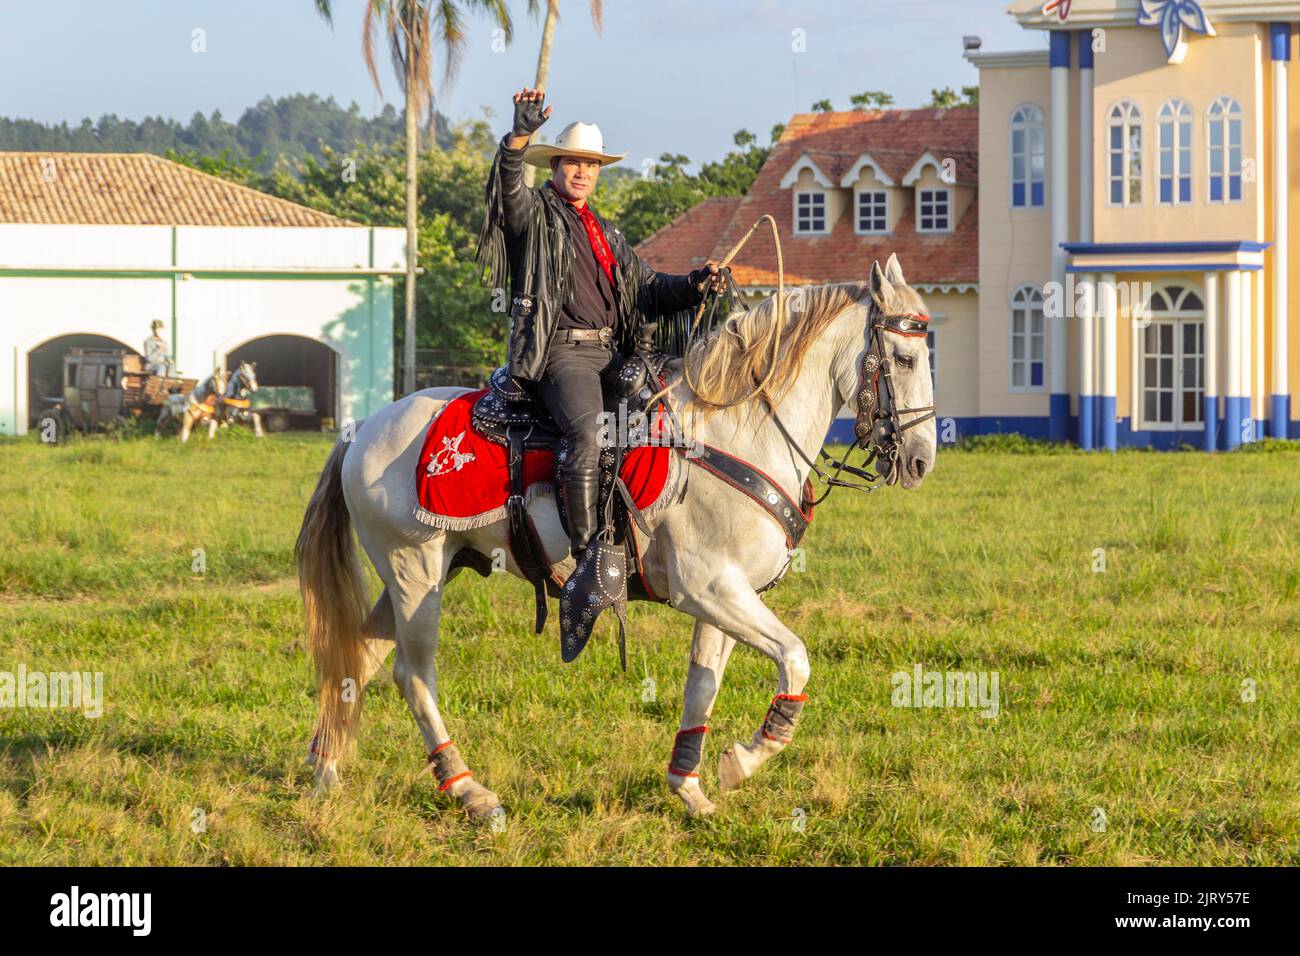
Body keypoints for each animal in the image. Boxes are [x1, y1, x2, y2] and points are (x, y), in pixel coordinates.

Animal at [299, 256, 941, 822]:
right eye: (906, 356)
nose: (919, 461)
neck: (737, 431)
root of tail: (364, 429)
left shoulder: (725, 598)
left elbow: (702, 687)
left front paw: (691, 788)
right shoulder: (708, 589)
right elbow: (795, 659)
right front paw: (742, 761)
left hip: (424, 573)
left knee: (359, 655)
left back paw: (326, 769)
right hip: (416, 574)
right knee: (413, 674)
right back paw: (468, 790)